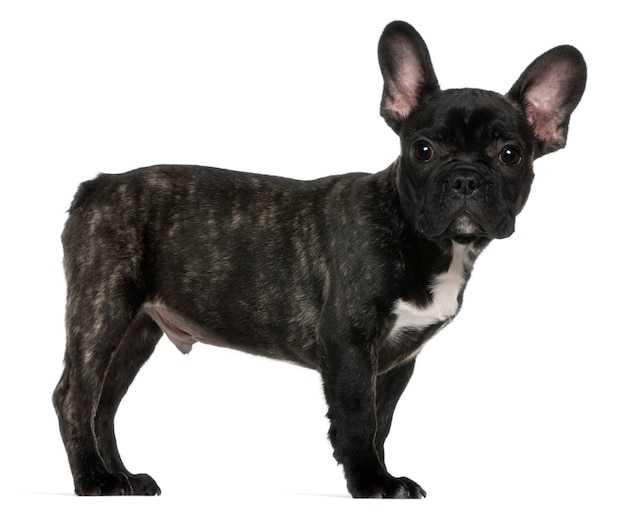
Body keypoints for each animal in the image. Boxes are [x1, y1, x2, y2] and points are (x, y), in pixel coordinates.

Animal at [53, 20, 584, 496]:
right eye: (423, 150)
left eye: (511, 154)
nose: (465, 178)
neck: (423, 238)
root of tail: (96, 186)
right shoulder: (349, 341)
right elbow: (357, 416)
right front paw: (371, 483)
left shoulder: (396, 360)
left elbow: (380, 420)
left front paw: (377, 473)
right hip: (104, 309)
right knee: (76, 397)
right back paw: (95, 480)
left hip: (137, 329)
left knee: (105, 403)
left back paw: (123, 477)